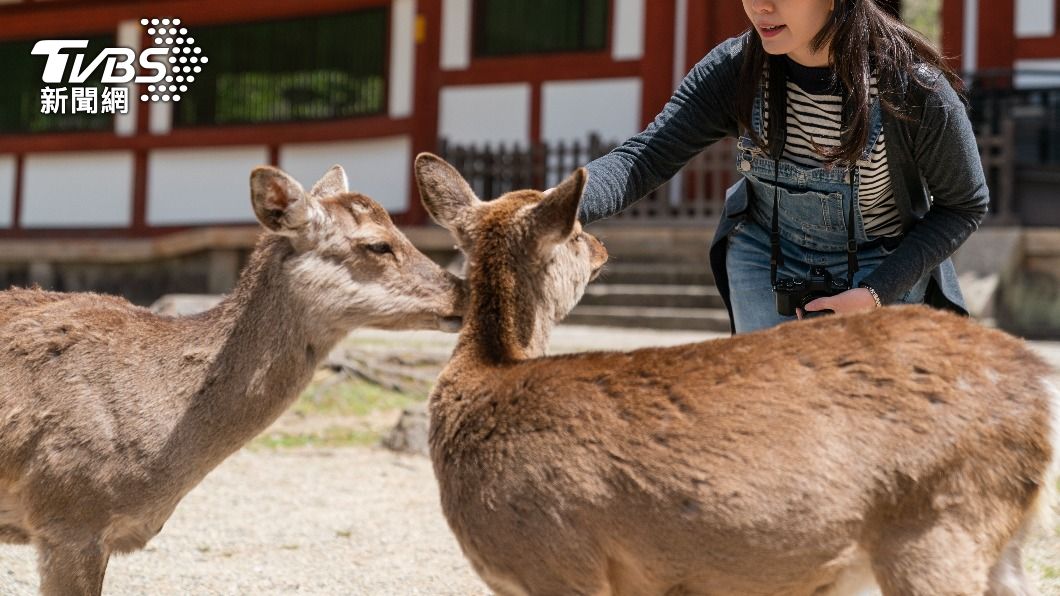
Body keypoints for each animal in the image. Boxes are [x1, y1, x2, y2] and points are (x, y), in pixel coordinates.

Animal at [414, 152, 1060, 596]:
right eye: (575, 233)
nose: (599, 245)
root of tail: (1039, 388)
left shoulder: (559, 558)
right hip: (995, 539)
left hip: (940, 520)